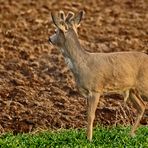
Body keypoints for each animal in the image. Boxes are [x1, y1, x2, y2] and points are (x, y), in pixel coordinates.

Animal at [48, 10, 147, 141]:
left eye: (55, 31)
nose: (49, 39)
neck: (82, 63)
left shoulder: (95, 89)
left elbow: (91, 115)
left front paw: (89, 139)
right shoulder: (87, 93)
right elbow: (86, 114)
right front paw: (87, 137)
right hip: (131, 90)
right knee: (142, 106)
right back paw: (131, 134)